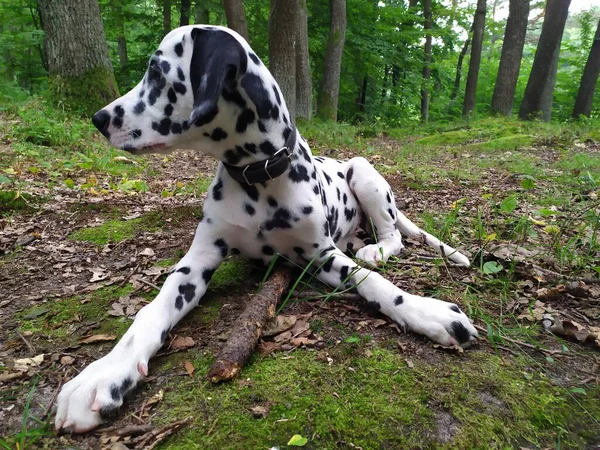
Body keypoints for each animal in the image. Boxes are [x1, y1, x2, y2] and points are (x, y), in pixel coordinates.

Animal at [56, 26, 478, 434]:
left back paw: (376, 250)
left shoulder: (320, 255)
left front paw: (427, 312)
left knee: (393, 237)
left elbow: (372, 282)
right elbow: (151, 310)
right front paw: (105, 373)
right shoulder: (197, 262)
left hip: (363, 171)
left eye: (157, 73)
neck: (256, 177)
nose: (99, 118)